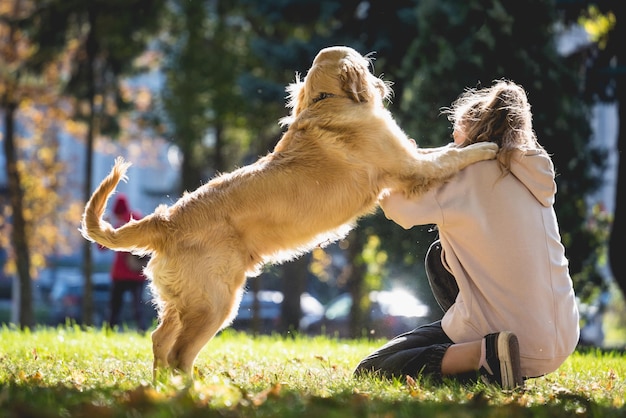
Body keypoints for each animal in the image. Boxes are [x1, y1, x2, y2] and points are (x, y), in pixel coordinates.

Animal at [80, 46, 494, 378]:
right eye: (366, 65)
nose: (382, 84)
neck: (326, 100)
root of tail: (165, 221)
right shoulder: (411, 167)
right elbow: (452, 155)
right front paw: (488, 146)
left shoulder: (412, 157)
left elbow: (441, 149)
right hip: (216, 303)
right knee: (179, 354)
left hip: (182, 302)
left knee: (160, 340)